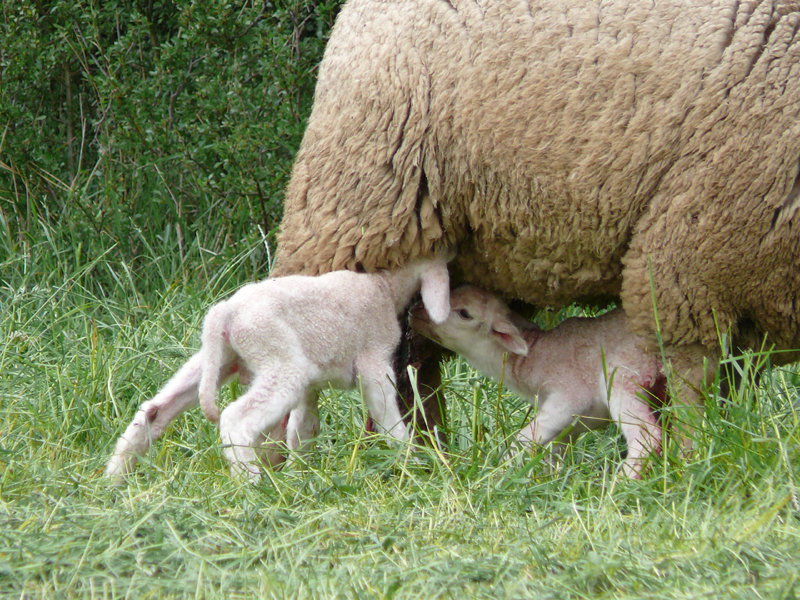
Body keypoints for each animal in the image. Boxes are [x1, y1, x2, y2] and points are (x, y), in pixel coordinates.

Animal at [105, 258, 450, 482]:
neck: (383, 285)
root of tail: (226, 312)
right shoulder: (373, 361)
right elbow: (387, 416)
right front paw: (412, 464)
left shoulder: (311, 384)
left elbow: (303, 427)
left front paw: (301, 472)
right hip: (278, 360)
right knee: (235, 419)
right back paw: (251, 482)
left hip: (220, 359)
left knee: (155, 409)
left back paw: (115, 476)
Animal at [272, 0, 800, 432]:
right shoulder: (688, 262)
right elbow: (693, 385)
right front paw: (697, 456)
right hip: (353, 211)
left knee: (412, 358)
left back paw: (427, 454)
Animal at [410, 284, 664, 478]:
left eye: (464, 313)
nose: (414, 311)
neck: (529, 357)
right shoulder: (569, 425)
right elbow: (553, 449)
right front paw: (549, 477)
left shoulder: (571, 396)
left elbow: (525, 437)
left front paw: (502, 468)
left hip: (623, 373)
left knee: (647, 436)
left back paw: (622, 481)